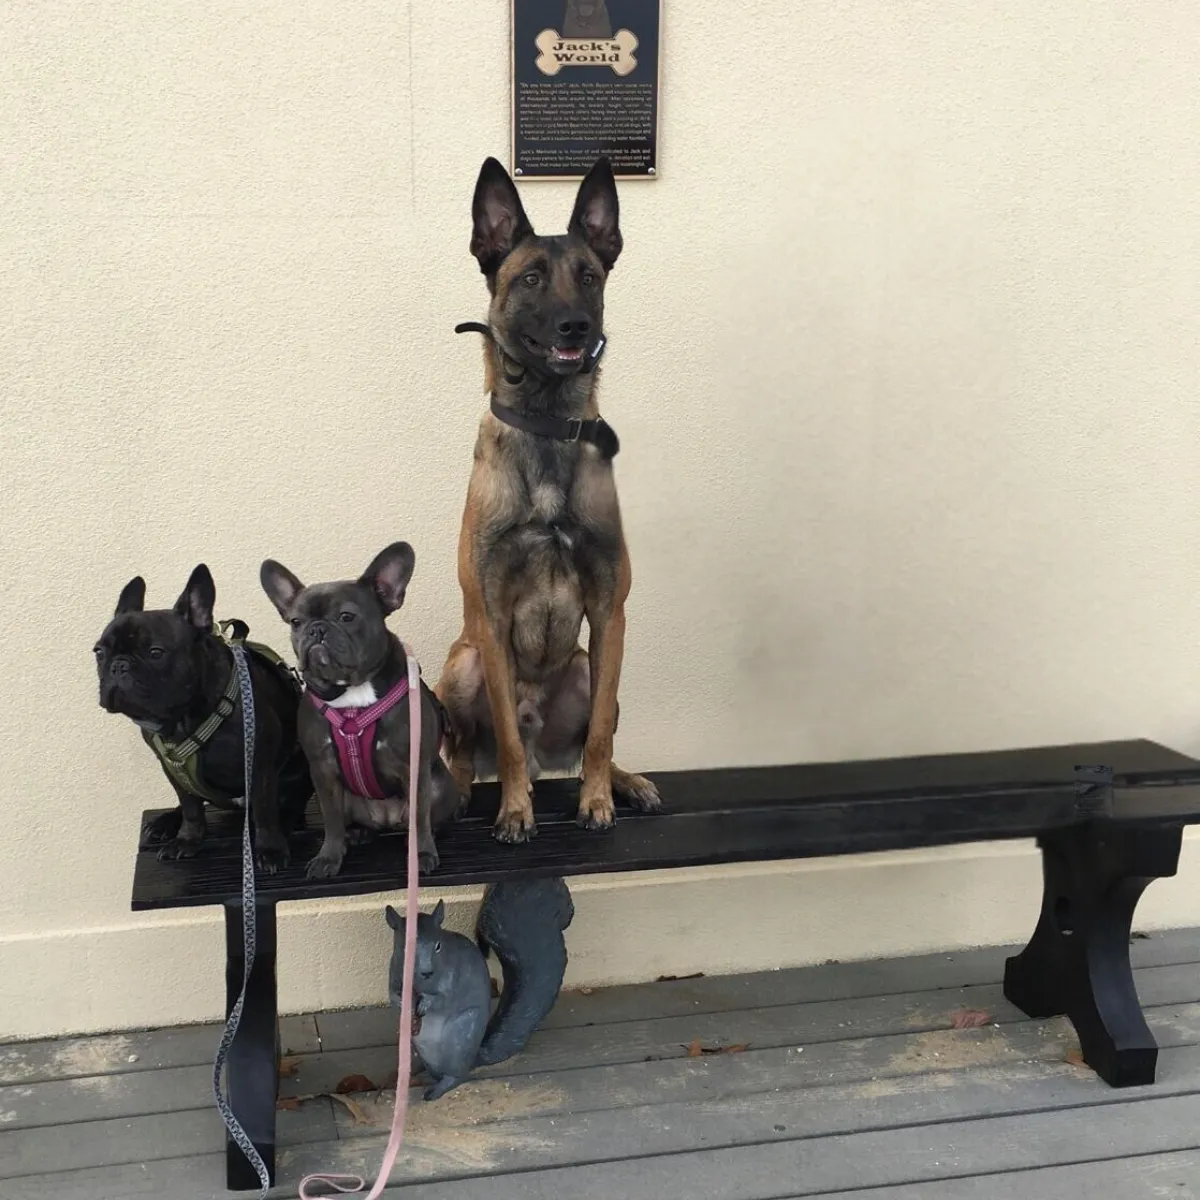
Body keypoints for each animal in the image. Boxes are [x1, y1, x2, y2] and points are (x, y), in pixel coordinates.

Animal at [441, 154, 662, 840]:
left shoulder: (610, 612)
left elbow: (599, 736)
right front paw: (515, 810)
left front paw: (598, 800)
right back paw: (463, 791)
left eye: (589, 277)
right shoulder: (491, 618)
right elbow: (508, 743)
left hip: (589, 667)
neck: (545, 424)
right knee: (465, 749)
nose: (577, 325)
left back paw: (624, 782)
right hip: (463, 665)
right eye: (532, 278)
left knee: (598, 734)